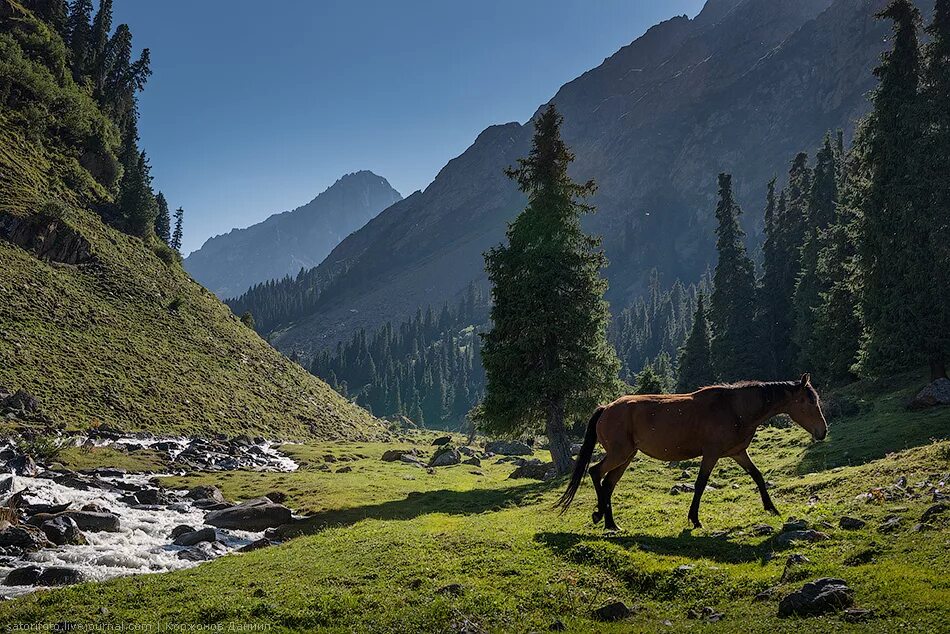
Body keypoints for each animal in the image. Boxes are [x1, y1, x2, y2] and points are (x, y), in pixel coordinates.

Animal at [556, 372, 828, 532]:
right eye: (809, 401)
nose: (822, 431)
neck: (735, 408)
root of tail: (606, 407)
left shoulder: (738, 453)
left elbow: (758, 476)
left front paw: (771, 508)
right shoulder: (711, 453)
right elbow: (700, 484)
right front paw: (695, 519)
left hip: (626, 456)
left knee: (608, 483)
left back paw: (611, 523)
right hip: (619, 454)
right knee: (595, 472)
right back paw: (599, 514)